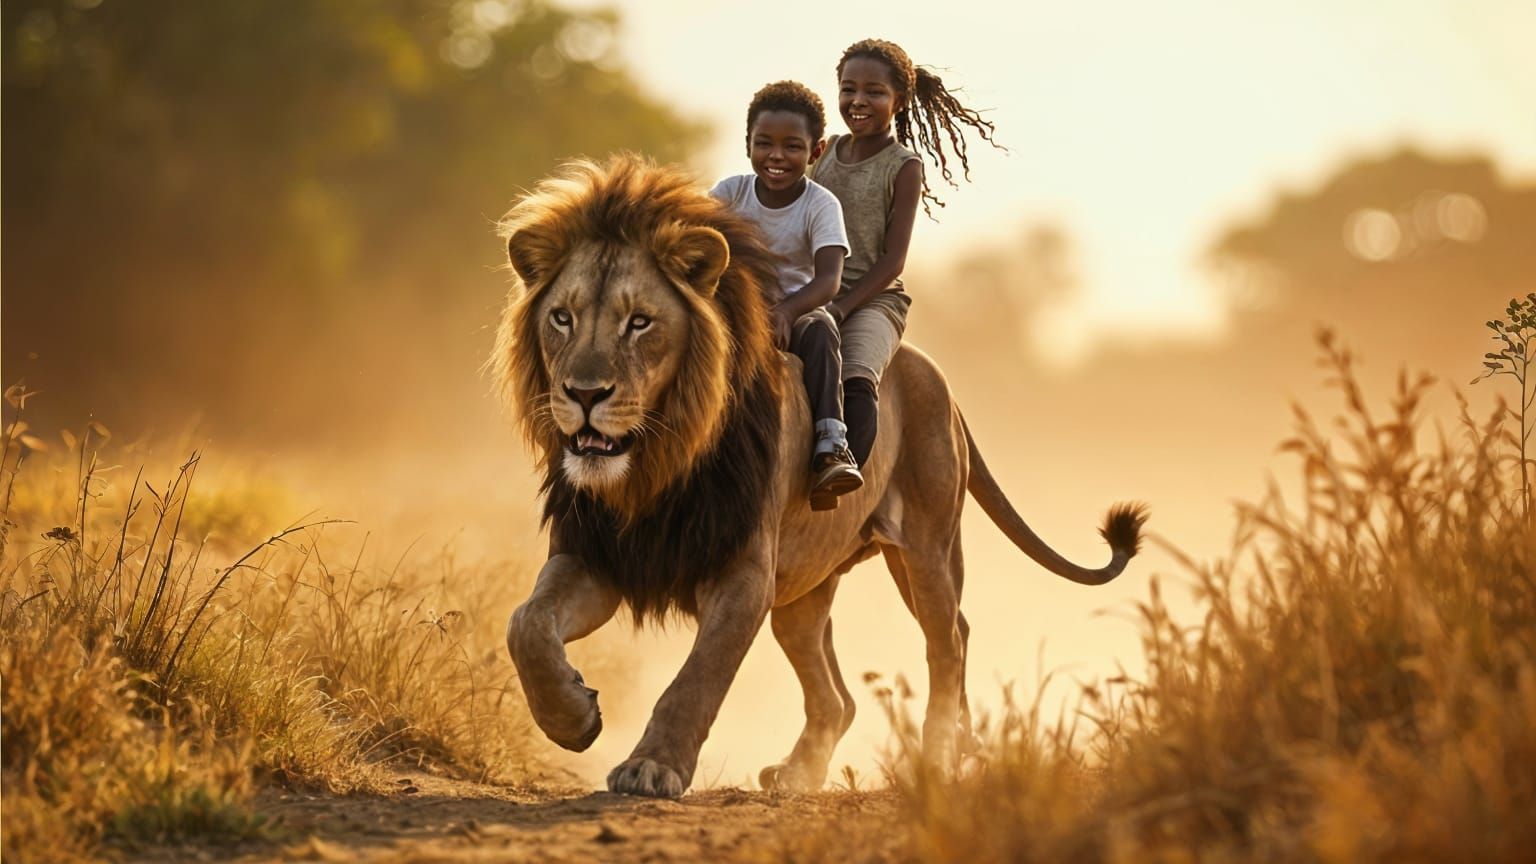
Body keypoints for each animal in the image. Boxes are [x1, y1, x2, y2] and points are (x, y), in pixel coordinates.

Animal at [491, 154, 1146, 799]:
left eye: (640, 323)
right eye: (562, 318)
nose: (584, 394)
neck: (656, 466)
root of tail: (934, 375)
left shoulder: (744, 573)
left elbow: (699, 677)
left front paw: (653, 766)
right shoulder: (595, 554)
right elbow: (526, 624)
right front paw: (573, 718)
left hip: (926, 548)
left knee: (948, 643)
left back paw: (937, 756)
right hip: (805, 589)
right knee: (841, 696)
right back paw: (807, 770)